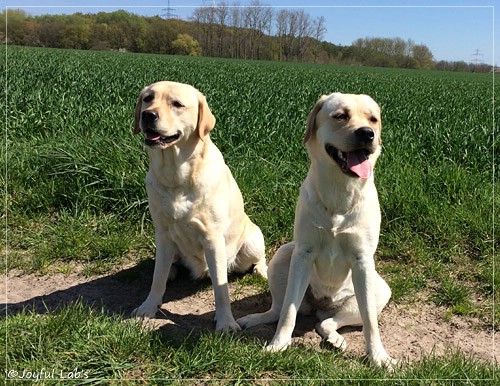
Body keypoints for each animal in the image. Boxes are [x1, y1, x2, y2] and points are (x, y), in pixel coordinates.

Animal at [131, 81, 268, 332]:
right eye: (148, 98)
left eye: (177, 104)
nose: (148, 115)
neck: (176, 176)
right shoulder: (162, 233)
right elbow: (157, 279)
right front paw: (149, 306)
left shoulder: (213, 238)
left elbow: (221, 289)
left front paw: (225, 322)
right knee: (166, 266)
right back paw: (172, 271)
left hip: (252, 241)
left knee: (257, 258)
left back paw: (262, 270)